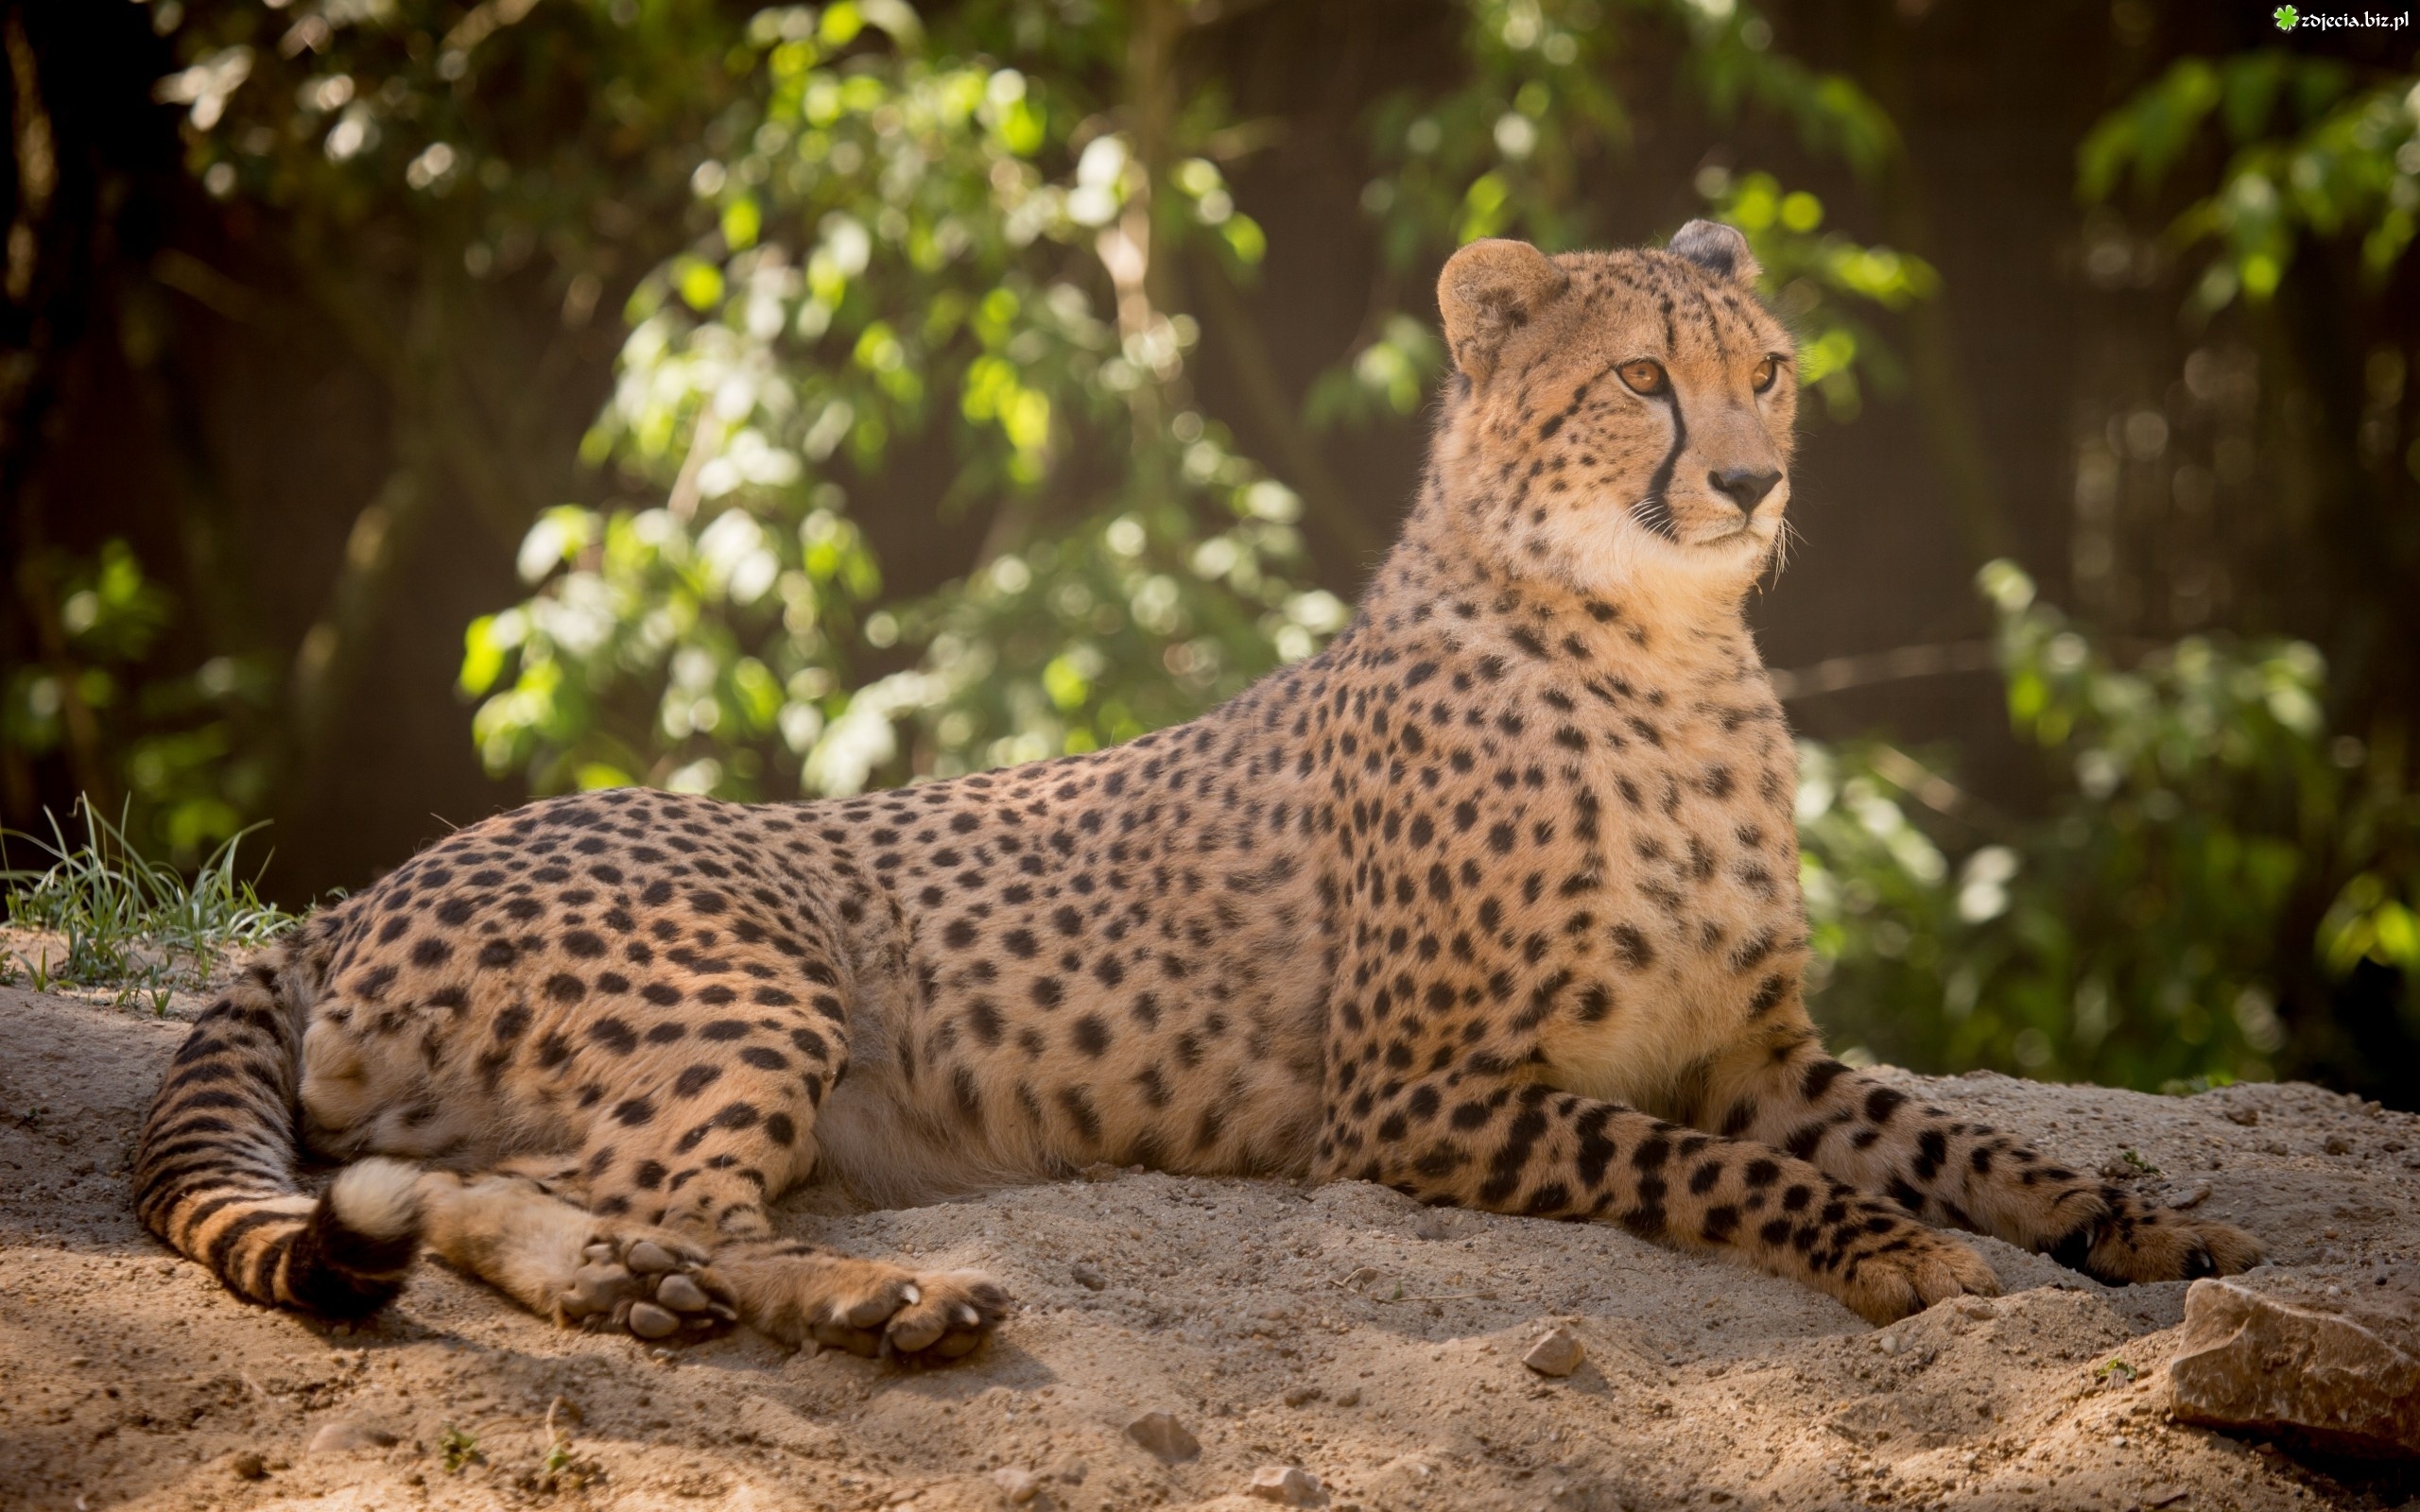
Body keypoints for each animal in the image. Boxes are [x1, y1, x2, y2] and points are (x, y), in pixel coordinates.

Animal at [137, 221, 2265, 1354]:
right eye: (1643, 383)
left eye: (1770, 374)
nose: (1749, 482)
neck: (1666, 656)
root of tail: (367, 883)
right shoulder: (1414, 1097)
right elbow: (1726, 1169)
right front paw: (1883, 1250)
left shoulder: (1752, 1046)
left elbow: (1970, 1137)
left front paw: (2144, 1227)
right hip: (758, 980)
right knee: (638, 1199)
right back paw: (867, 1302)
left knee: (439, 1188)